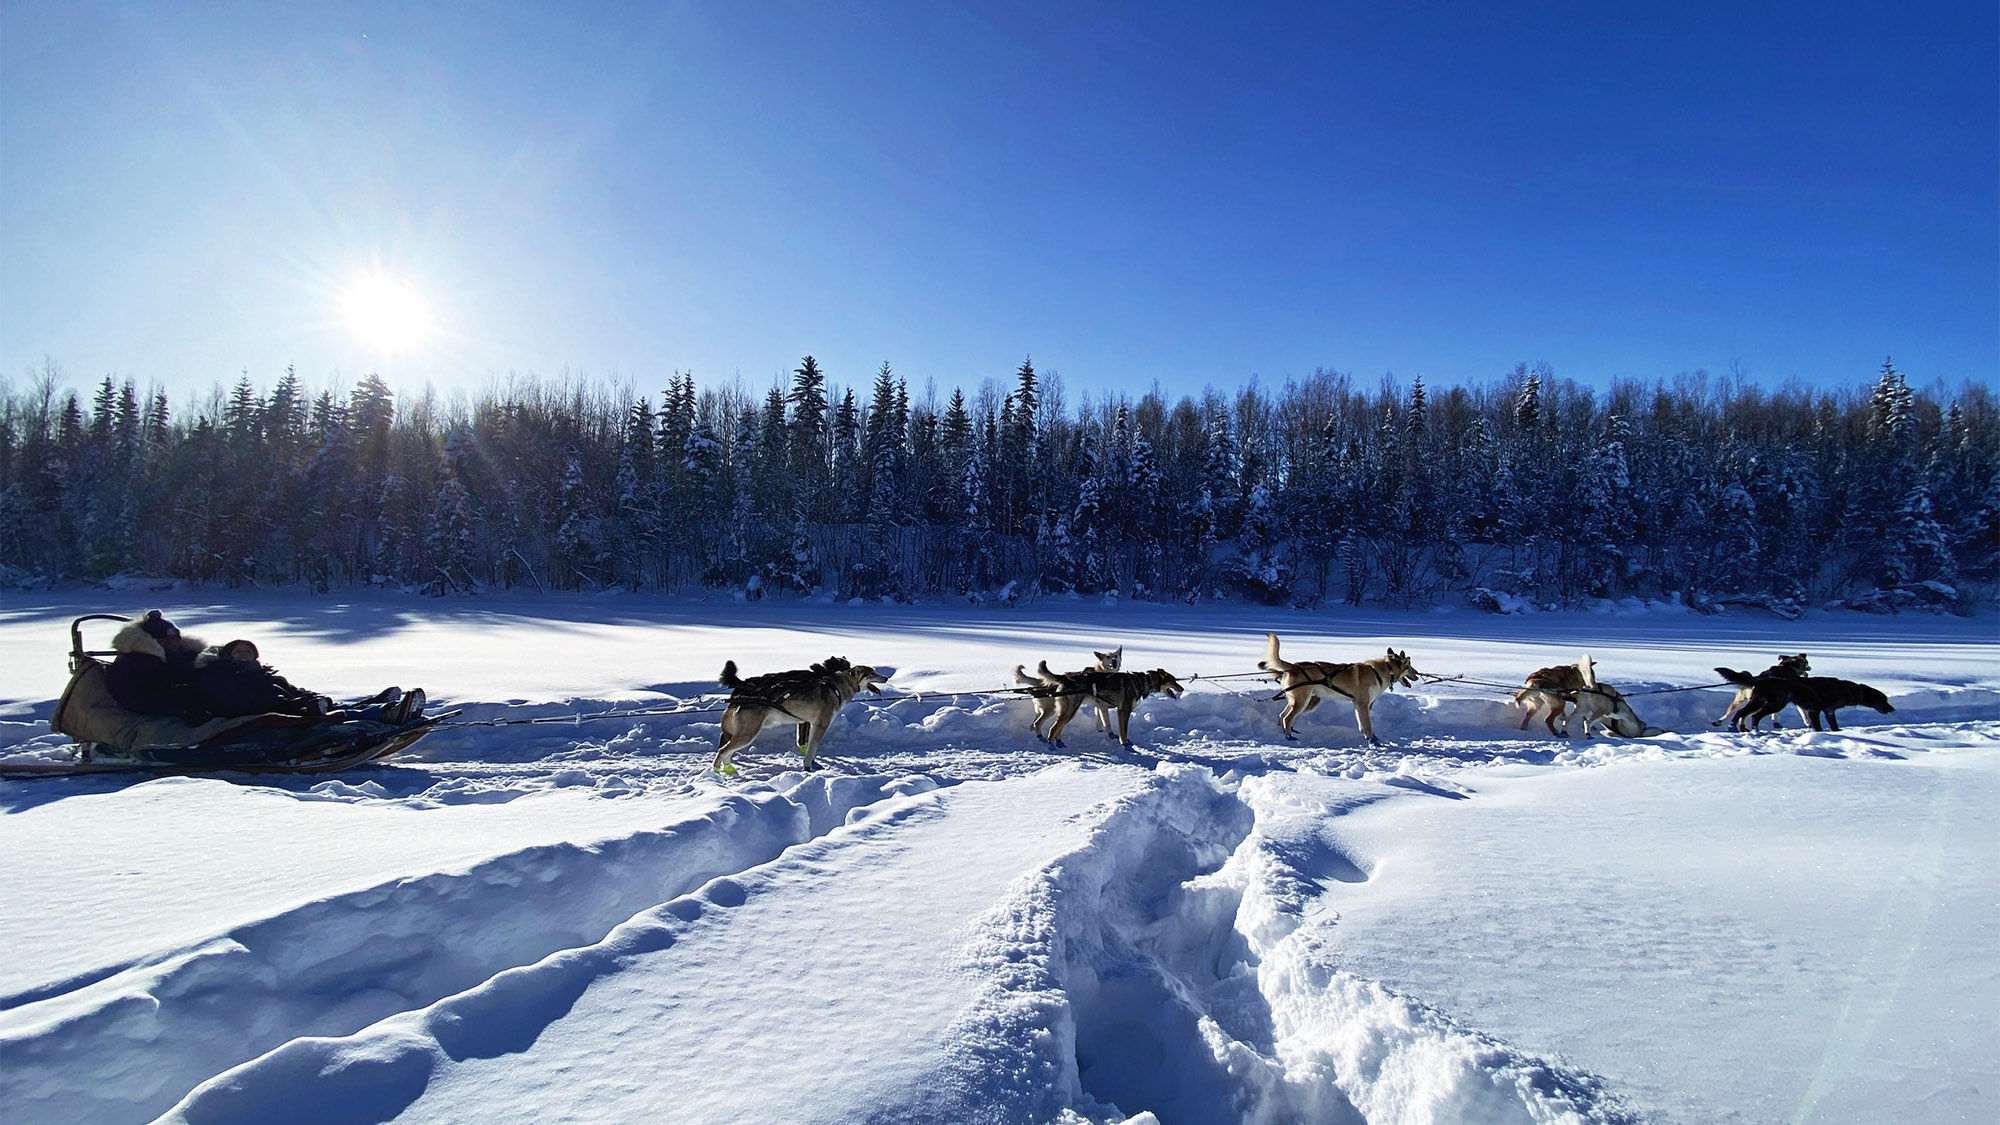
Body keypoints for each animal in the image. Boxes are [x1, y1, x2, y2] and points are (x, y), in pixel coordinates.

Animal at [1736, 668, 1888, 732]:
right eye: (1884, 700)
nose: (1891, 709)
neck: (1846, 689)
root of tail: (1761, 680)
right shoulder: (1815, 710)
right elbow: (1817, 726)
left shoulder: (1827, 711)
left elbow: (1833, 726)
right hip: (1775, 704)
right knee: (1754, 716)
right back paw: (1754, 730)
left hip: (1758, 702)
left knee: (1742, 713)